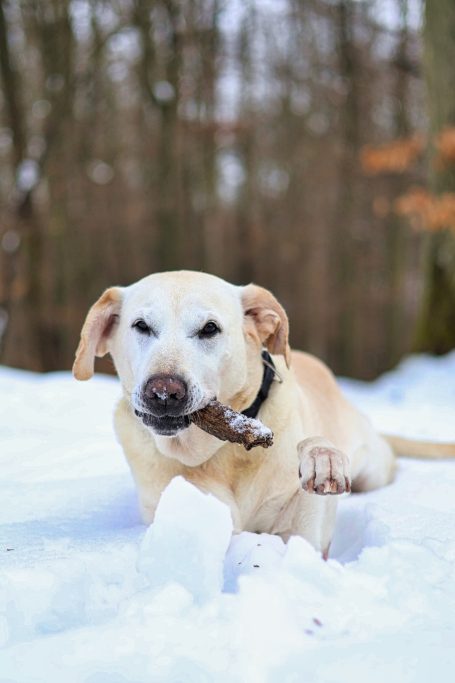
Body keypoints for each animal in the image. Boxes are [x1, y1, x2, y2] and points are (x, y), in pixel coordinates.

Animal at [73, 271, 447, 558]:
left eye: (210, 328)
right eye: (141, 326)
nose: (164, 392)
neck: (220, 453)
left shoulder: (305, 533)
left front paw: (322, 459)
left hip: (373, 466)